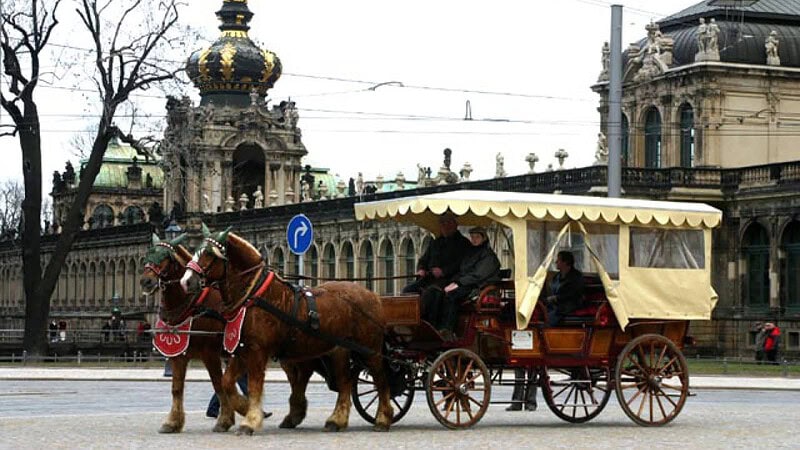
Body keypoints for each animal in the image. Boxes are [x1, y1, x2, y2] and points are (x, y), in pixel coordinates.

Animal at [138, 232, 250, 432]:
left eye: (165, 256)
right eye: (148, 254)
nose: (146, 281)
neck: (193, 305)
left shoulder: (209, 353)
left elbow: (218, 384)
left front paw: (224, 419)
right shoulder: (178, 354)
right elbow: (177, 388)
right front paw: (173, 422)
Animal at [180, 230, 394, 434]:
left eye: (209, 253)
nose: (186, 281)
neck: (255, 294)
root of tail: (372, 294)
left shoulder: (257, 351)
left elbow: (255, 385)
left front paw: (250, 421)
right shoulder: (242, 350)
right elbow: (226, 382)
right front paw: (243, 408)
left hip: (370, 350)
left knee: (381, 380)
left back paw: (383, 419)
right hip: (340, 350)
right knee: (345, 382)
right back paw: (336, 421)